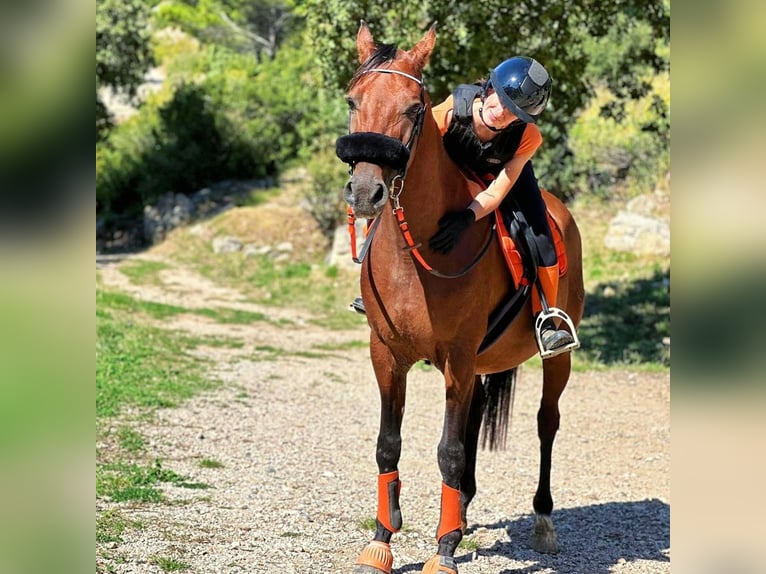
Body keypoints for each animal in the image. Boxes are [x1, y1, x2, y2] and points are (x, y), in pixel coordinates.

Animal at [338, 22, 588, 574]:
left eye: (413, 109)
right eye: (352, 101)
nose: (366, 193)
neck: (416, 257)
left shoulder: (457, 357)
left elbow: (448, 451)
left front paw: (443, 551)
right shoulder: (387, 355)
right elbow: (389, 445)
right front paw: (382, 540)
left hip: (550, 361)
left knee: (546, 424)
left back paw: (542, 521)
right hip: (476, 364)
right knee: (473, 422)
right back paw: (465, 510)